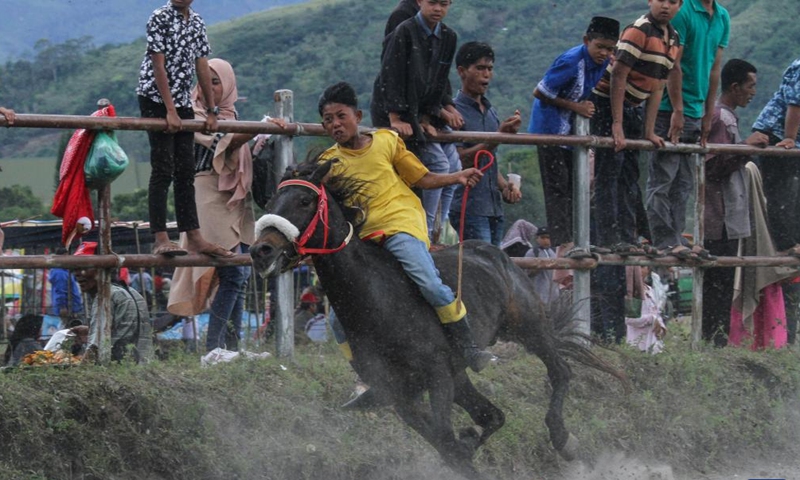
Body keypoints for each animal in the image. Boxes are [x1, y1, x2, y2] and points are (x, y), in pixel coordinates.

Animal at [250, 159, 624, 478]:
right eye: (271, 199)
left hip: (528, 325)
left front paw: (467, 446)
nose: (260, 251)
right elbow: (447, 443)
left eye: (303, 200)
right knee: (494, 414)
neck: (377, 300)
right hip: (463, 373)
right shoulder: (401, 393)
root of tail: (494, 252)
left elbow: (446, 439)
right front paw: (467, 445)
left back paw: (563, 438)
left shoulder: (437, 374)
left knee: (560, 371)